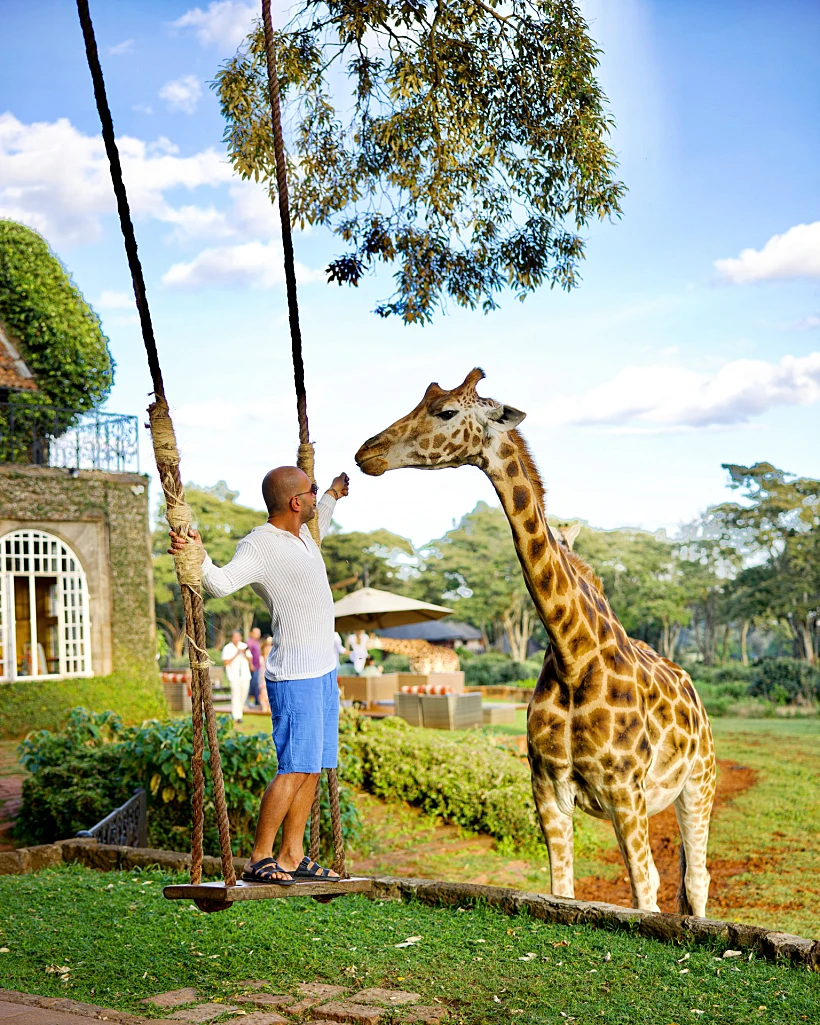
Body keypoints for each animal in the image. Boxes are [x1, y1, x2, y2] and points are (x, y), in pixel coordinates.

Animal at [355, 369, 716, 916]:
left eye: (446, 412)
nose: (366, 452)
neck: (572, 656)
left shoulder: (625, 793)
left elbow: (643, 893)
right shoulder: (547, 789)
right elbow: (560, 891)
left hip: (698, 785)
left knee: (695, 880)